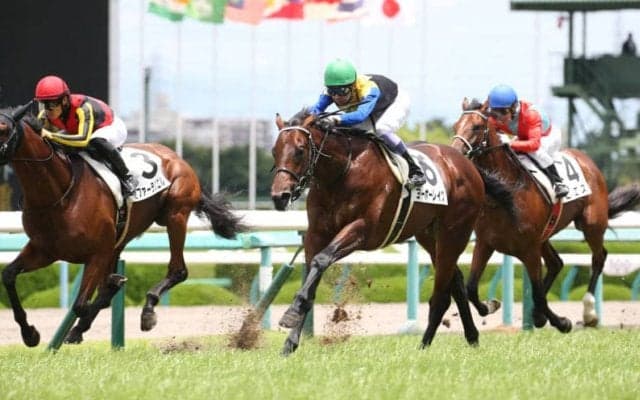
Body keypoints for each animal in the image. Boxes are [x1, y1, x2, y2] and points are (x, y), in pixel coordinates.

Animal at [0, 104, 245, 347]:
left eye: (3, 129)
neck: (60, 194)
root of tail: (176, 157)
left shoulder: (97, 253)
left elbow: (82, 304)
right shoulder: (45, 250)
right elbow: (9, 275)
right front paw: (30, 334)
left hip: (176, 214)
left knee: (178, 270)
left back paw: (147, 310)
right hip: (123, 236)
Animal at [270, 111, 489, 355]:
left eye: (300, 150)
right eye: (274, 151)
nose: (279, 196)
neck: (343, 171)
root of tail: (466, 164)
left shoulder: (363, 229)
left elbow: (322, 259)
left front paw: (291, 314)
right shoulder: (316, 233)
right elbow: (311, 274)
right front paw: (290, 340)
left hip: (455, 232)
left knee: (442, 296)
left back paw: (423, 346)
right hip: (430, 235)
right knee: (456, 280)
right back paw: (472, 337)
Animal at [452, 98, 640, 332]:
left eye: (477, 126)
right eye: (455, 126)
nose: (455, 151)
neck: (505, 196)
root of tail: (586, 159)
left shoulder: (530, 250)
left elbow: (538, 293)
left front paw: (560, 322)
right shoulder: (486, 243)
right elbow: (471, 287)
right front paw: (491, 306)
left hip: (592, 224)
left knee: (599, 257)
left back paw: (588, 313)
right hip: (545, 235)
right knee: (556, 263)